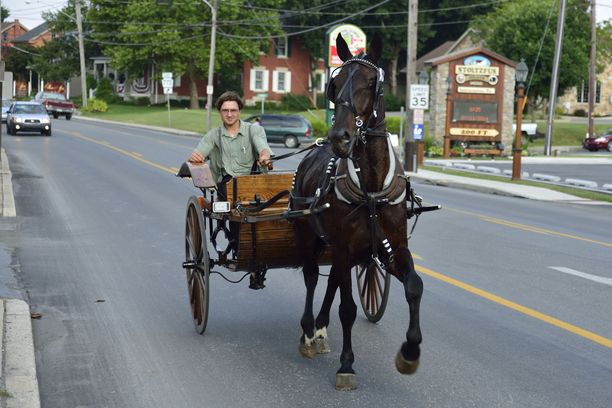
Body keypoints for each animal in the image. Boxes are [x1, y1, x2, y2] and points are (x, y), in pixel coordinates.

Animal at [292, 33, 420, 390]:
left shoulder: (393, 248)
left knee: (334, 279)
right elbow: (348, 308)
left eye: (371, 82)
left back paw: (320, 327)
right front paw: (346, 365)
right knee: (311, 277)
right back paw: (309, 331)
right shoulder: (344, 247)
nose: (339, 136)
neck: (372, 186)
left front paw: (410, 353)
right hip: (309, 236)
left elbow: (414, 287)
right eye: (334, 85)